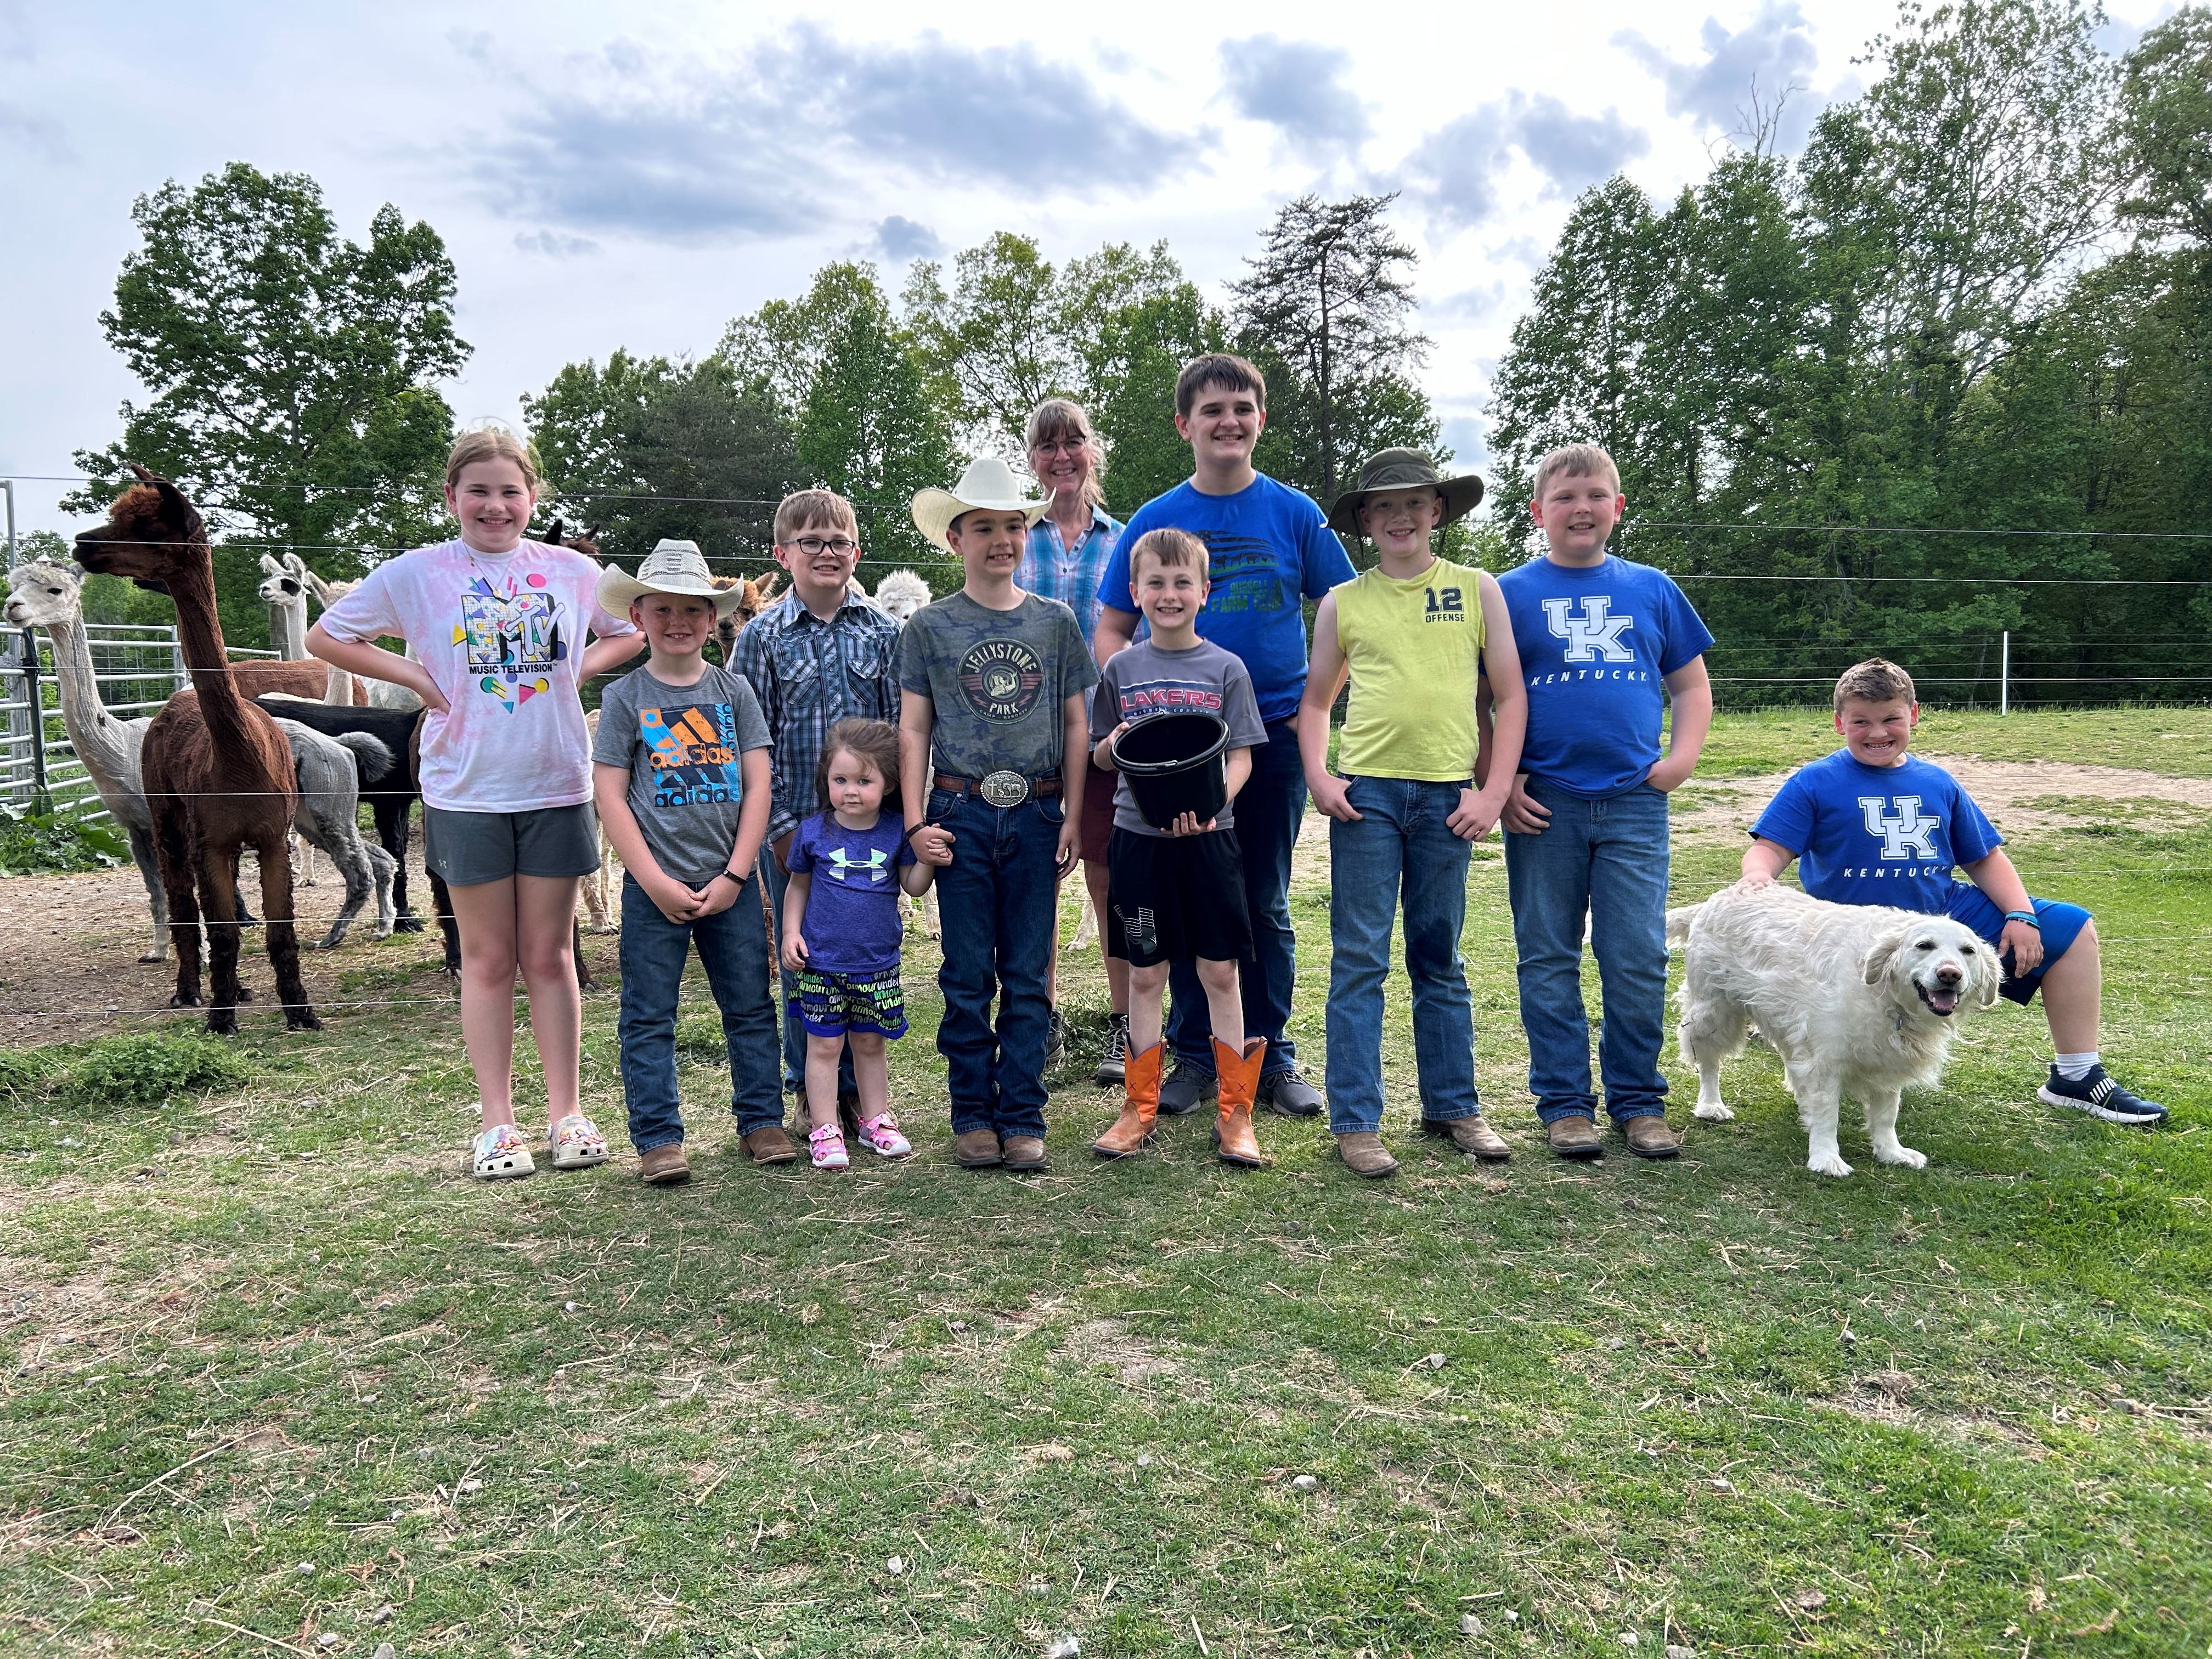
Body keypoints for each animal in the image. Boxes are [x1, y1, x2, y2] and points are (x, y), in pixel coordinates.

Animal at [1663, 889, 1999, 1177]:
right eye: (1924, 946)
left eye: (1968, 951)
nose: (1950, 974)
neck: (1886, 997)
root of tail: (1712, 901)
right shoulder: (1825, 1060)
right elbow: (1828, 1115)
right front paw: (1826, 1158)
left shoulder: (1887, 1062)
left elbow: (1887, 1115)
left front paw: (1892, 1152)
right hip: (1714, 1014)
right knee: (1708, 1062)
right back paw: (1711, 1105)